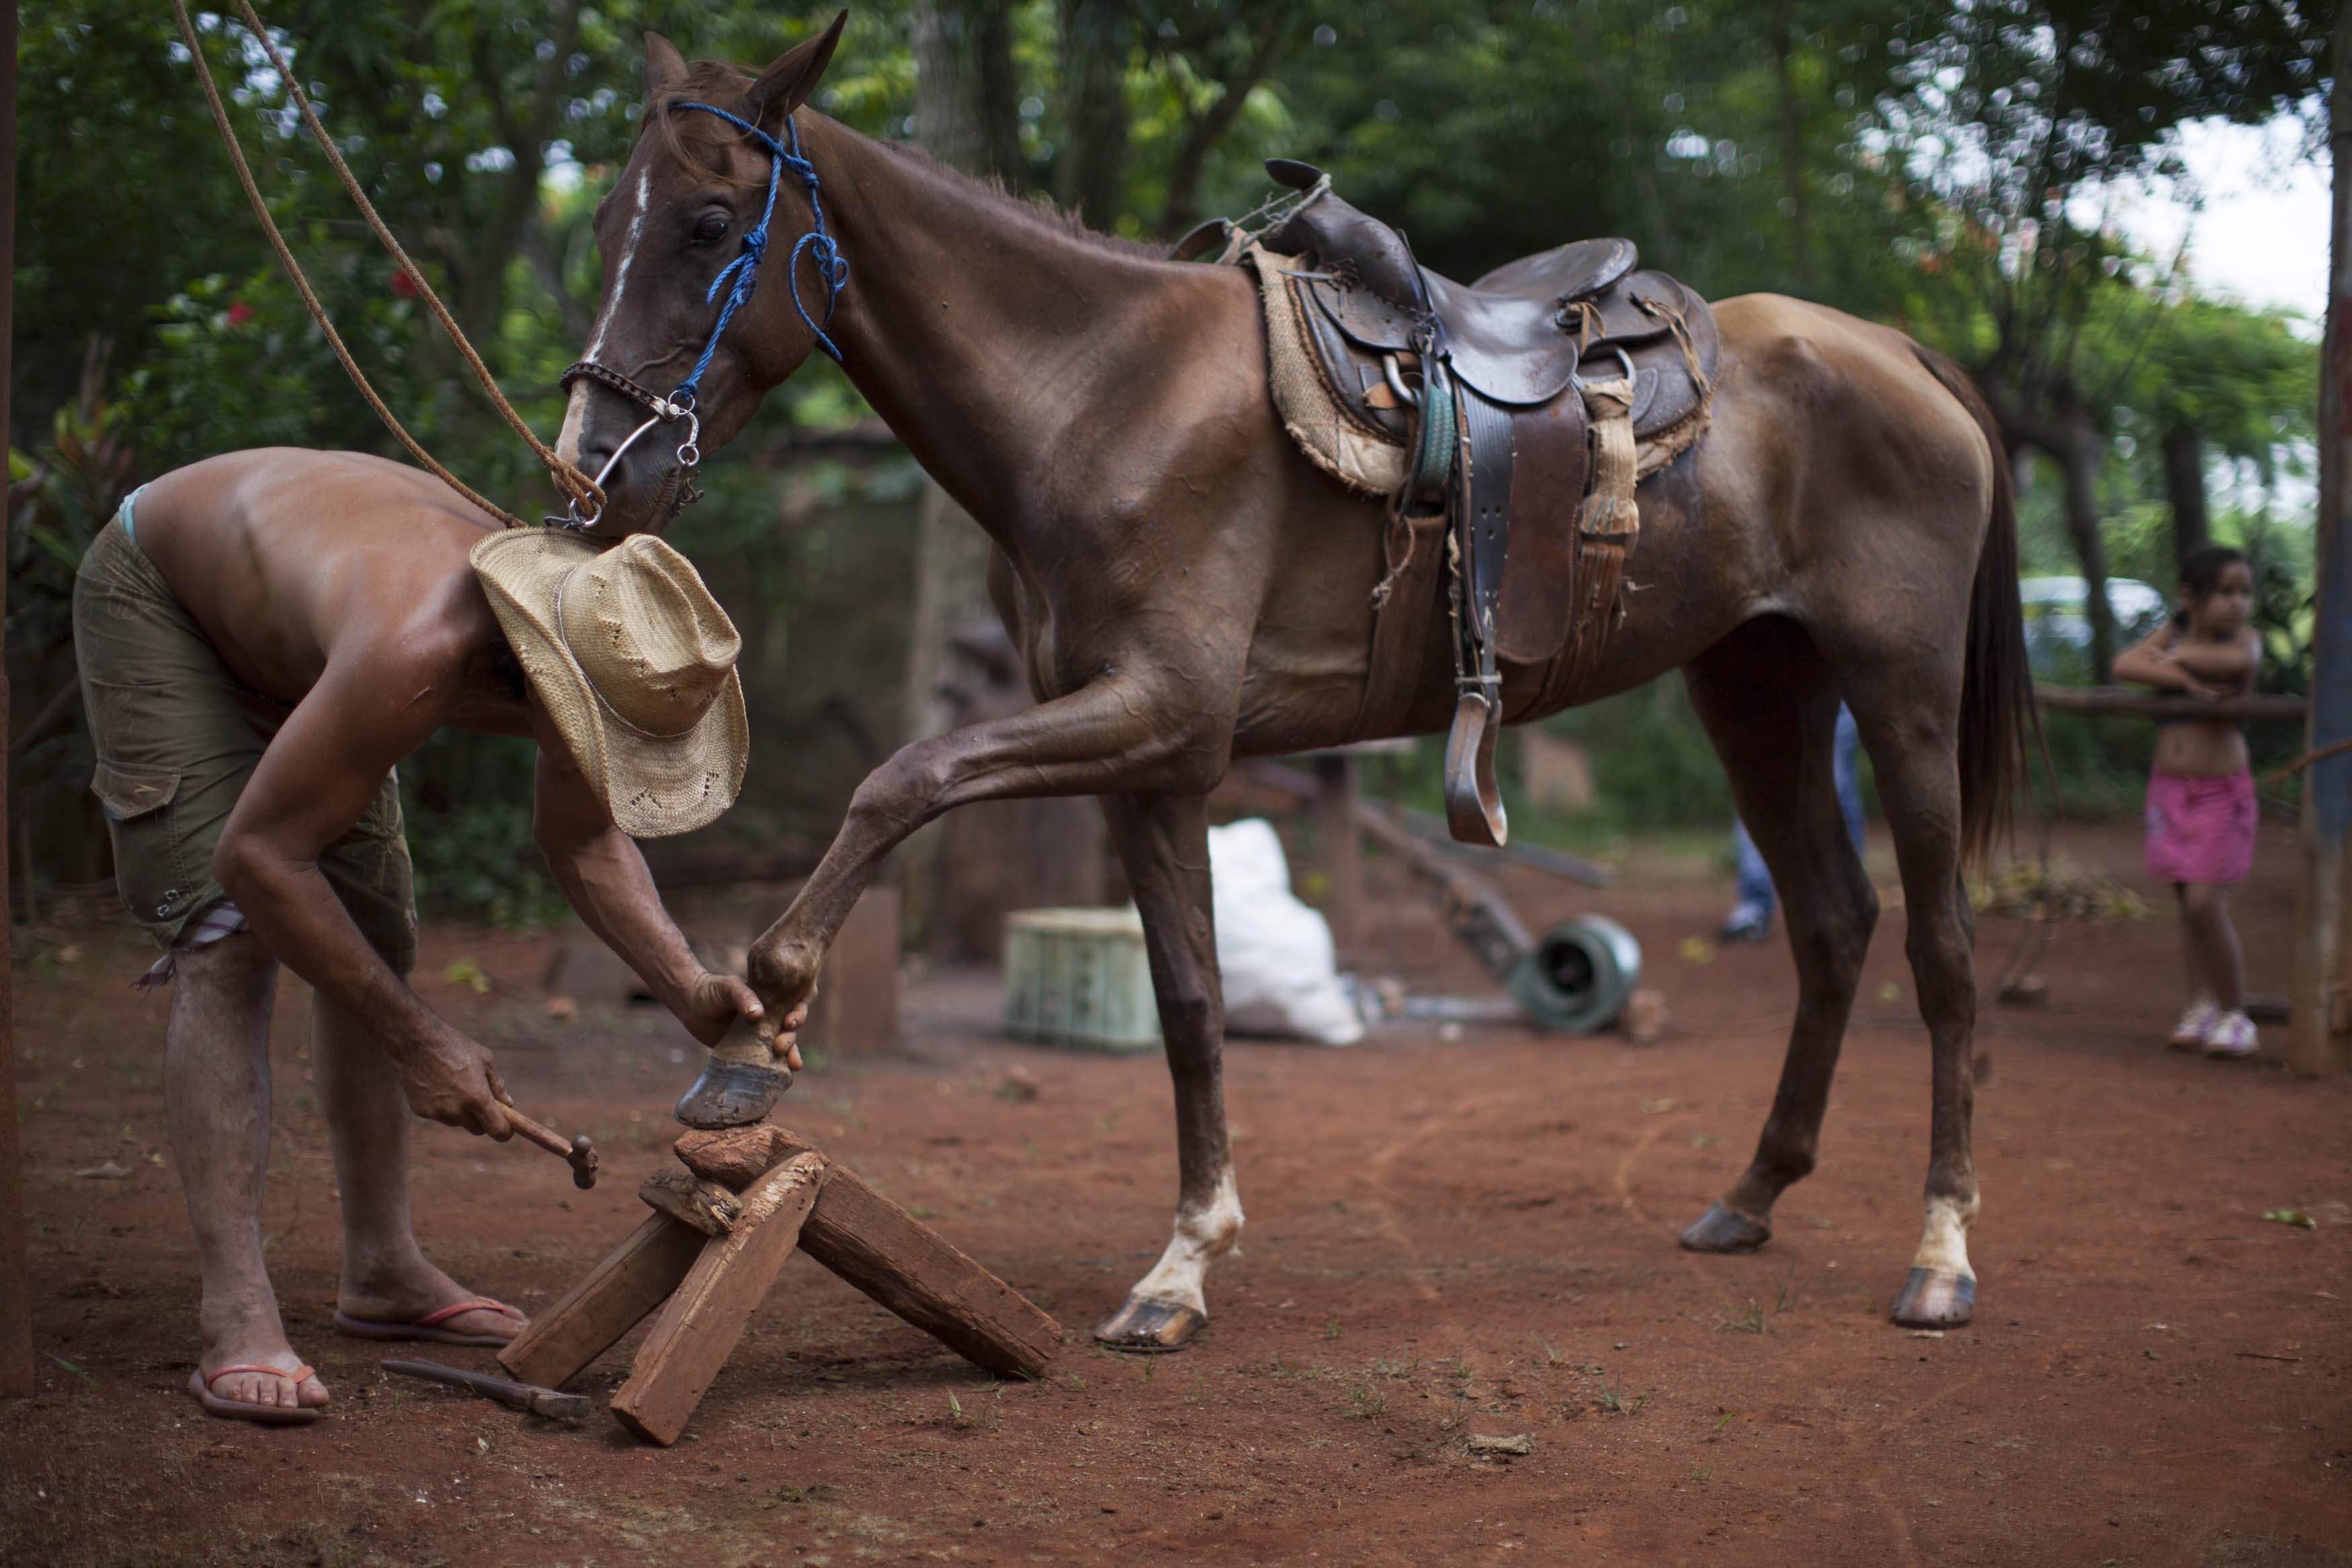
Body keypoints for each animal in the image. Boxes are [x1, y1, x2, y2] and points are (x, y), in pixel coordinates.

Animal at [560, 21, 2032, 1354]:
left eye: (707, 224)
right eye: (611, 225)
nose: (593, 469)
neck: (1100, 395)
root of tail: (1899, 349)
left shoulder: (1160, 709)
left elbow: (899, 779)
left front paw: (748, 1044)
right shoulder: (1154, 759)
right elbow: (1189, 998)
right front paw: (1182, 1265)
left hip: (1896, 690)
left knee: (1943, 950)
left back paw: (1944, 1255)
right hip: (1756, 688)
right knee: (1833, 924)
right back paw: (1752, 1195)